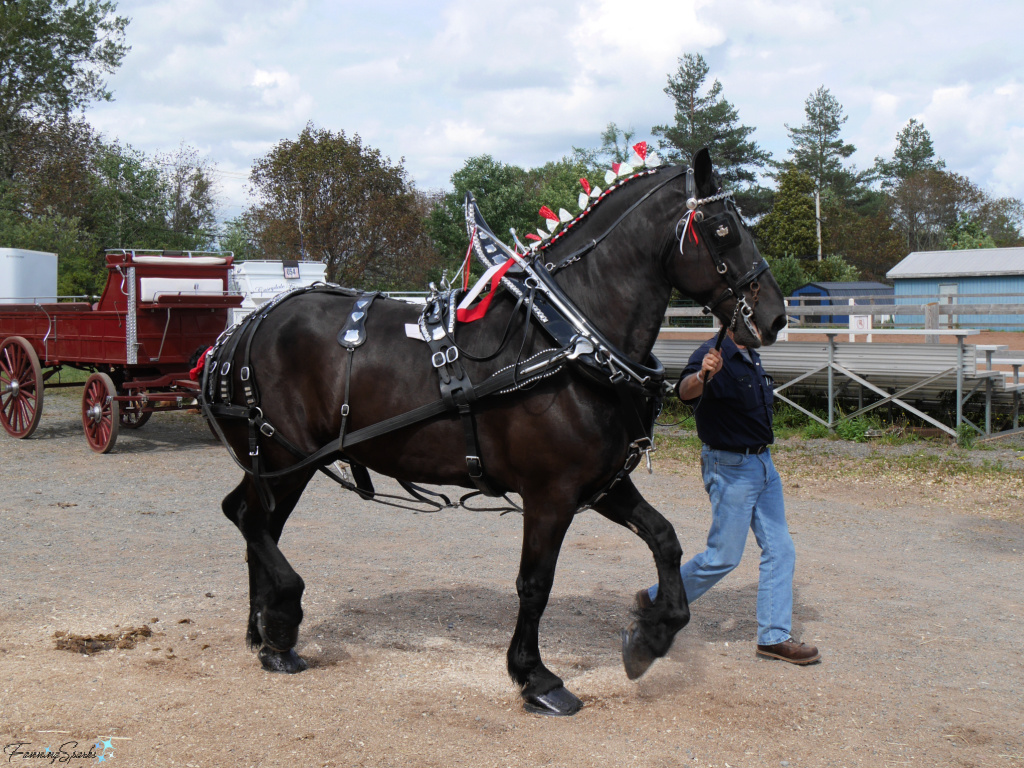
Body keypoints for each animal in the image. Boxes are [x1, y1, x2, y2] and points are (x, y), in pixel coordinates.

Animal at [201, 148, 787, 717]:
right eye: (722, 229)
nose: (775, 316)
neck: (569, 340)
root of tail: (245, 328)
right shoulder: (551, 494)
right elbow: (535, 584)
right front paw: (535, 677)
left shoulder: (603, 484)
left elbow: (665, 539)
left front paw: (651, 633)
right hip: (285, 459)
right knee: (249, 520)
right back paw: (281, 620)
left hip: (278, 466)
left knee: (257, 524)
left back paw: (266, 637)